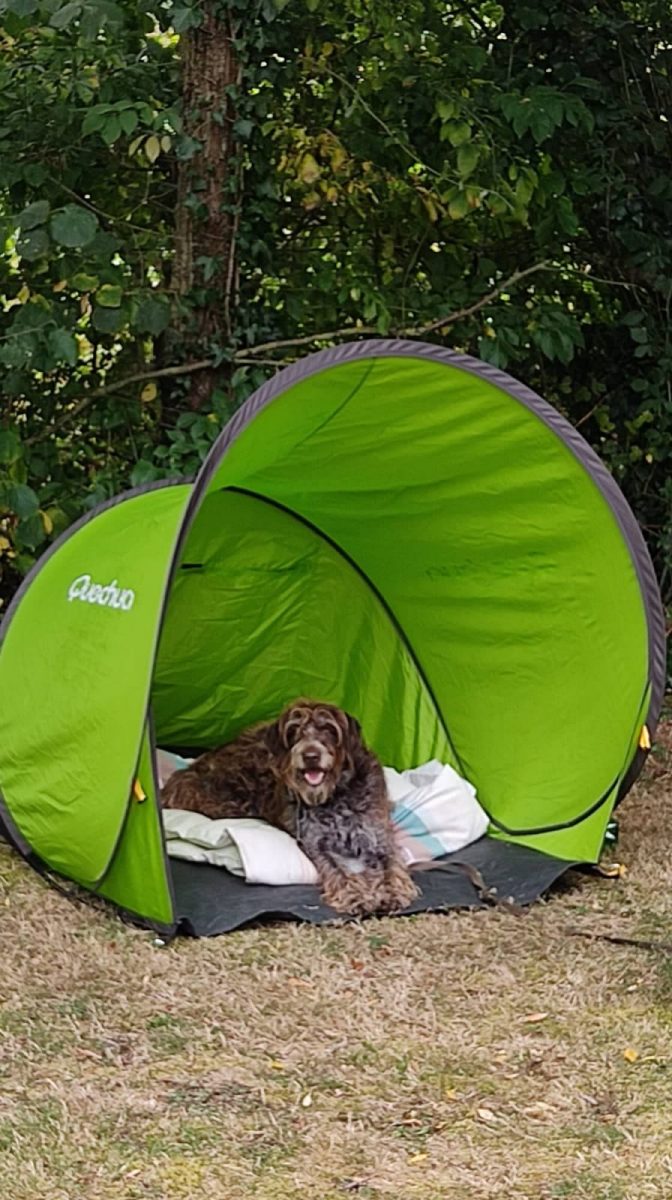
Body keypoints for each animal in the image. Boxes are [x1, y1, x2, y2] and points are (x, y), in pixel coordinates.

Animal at [159, 700, 417, 912]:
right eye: (294, 731)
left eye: (328, 729)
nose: (311, 756)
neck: (336, 795)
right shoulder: (316, 843)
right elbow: (337, 870)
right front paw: (355, 895)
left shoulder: (379, 836)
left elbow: (391, 865)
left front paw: (393, 892)